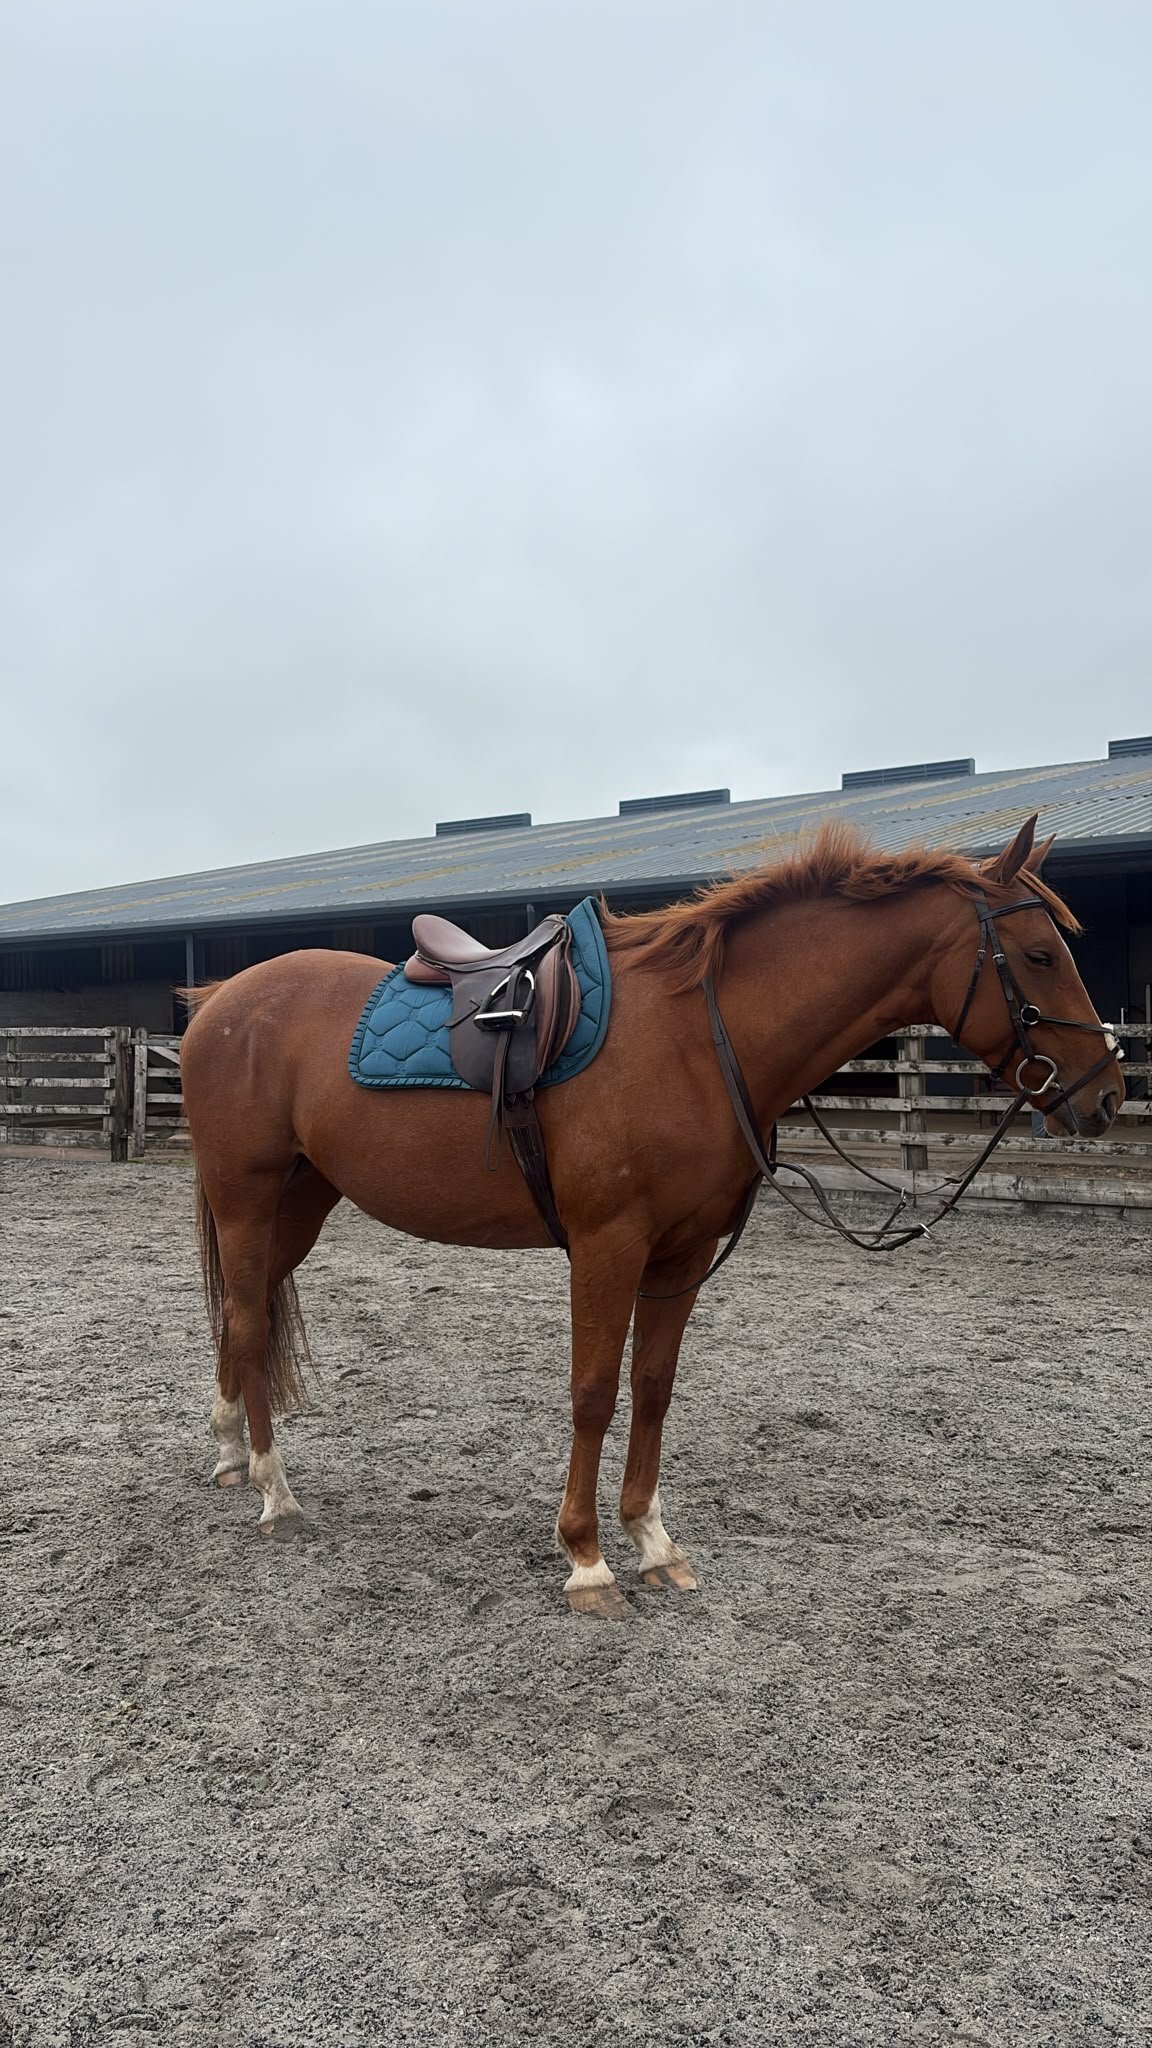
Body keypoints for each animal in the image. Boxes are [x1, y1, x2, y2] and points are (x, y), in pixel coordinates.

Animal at [180, 814, 1123, 1618]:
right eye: (1040, 955)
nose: (1108, 1096)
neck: (698, 1039)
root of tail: (221, 997)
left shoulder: (680, 1254)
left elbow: (654, 1388)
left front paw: (653, 1542)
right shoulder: (609, 1245)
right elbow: (594, 1393)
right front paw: (587, 1558)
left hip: (300, 1199)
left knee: (241, 1311)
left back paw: (230, 1454)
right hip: (247, 1195)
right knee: (251, 1321)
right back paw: (274, 1486)